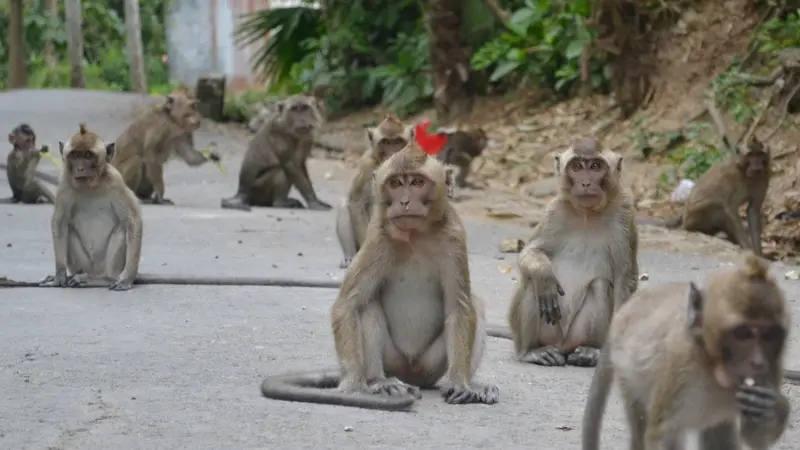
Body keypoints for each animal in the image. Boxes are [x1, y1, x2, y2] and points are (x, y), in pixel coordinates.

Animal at [39, 123, 144, 292]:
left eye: (88, 155)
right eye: (75, 156)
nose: (80, 168)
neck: (90, 187)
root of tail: (95, 272)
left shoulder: (116, 182)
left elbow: (133, 222)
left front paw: (127, 278)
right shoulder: (64, 183)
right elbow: (60, 223)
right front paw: (59, 275)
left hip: (106, 266)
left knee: (122, 229)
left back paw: (102, 279)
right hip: (84, 264)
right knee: (69, 230)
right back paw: (77, 276)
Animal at [262, 142, 500, 410]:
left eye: (417, 182)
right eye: (395, 184)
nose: (404, 201)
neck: (416, 235)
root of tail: (411, 375)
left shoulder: (454, 237)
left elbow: (459, 307)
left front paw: (460, 383)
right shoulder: (377, 239)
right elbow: (348, 304)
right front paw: (353, 386)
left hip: (430, 366)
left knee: (475, 305)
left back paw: (471, 384)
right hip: (393, 362)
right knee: (366, 304)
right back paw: (378, 382)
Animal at [334, 115, 416, 268]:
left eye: (398, 141)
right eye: (386, 142)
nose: (392, 154)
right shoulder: (366, 164)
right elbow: (356, 201)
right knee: (344, 206)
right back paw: (350, 257)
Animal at [506, 138, 636, 370]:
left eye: (595, 166)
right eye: (576, 167)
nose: (585, 183)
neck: (587, 214)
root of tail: (562, 344)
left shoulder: (625, 213)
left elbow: (625, 278)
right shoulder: (553, 212)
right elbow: (530, 253)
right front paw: (545, 275)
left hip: (577, 332)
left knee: (599, 285)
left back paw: (589, 352)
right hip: (547, 331)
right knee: (531, 283)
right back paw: (531, 351)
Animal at [580, 253, 792, 450]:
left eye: (770, 335)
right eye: (743, 333)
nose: (758, 362)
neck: (710, 364)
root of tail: (624, 310)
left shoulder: (773, 369)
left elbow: (754, 438)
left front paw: (772, 408)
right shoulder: (680, 363)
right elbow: (661, 435)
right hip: (627, 374)